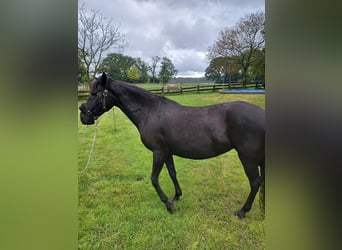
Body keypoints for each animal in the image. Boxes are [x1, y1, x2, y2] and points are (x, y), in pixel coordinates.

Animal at [79, 73, 264, 219]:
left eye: (94, 93)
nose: (83, 116)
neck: (150, 112)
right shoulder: (167, 152)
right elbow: (172, 173)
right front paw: (176, 197)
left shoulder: (158, 152)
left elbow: (154, 179)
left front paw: (168, 204)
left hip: (247, 158)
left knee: (255, 182)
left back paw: (242, 211)